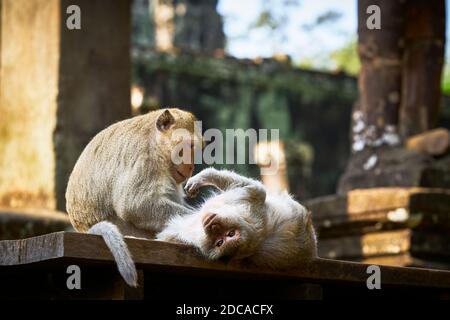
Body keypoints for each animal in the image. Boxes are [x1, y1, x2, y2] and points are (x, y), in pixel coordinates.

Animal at [66, 108, 201, 288]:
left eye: (195, 149)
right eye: (188, 146)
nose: (191, 167)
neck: (155, 142)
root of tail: (83, 229)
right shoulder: (144, 159)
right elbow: (134, 206)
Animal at [156, 168, 318, 270]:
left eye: (229, 235)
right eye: (220, 242)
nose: (211, 225)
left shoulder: (249, 208)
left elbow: (254, 189)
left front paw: (203, 177)